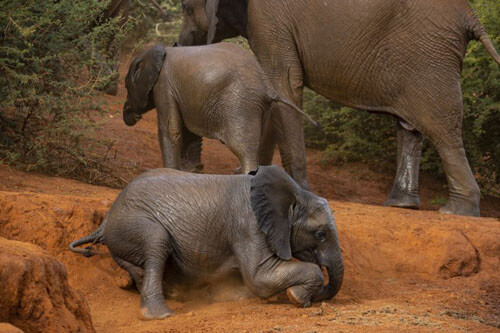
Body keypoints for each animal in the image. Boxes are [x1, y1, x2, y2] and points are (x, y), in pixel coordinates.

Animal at [69, 166, 344, 320]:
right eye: (320, 234)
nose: (320, 296)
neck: (293, 193)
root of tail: (107, 217)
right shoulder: (248, 224)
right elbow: (261, 277)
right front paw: (298, 298)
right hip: (131, 222)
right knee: (157, 241)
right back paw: (160, 315)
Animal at [121, 42, 316, 174]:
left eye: (126, 85)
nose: (129, 113)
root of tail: (268, 86)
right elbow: (188, 132)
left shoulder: (164, 86)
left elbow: (172, 130)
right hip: (261, 108)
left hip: (241, 103)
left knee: (243, 148)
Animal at [178, 0, 498, 215]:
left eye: (185, 7)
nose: (179, 46)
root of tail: (470, 15)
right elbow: (274, 94)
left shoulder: (269, 20)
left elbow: (284, 84)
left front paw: (297, 188)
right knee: (410, 127)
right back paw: (401, 204)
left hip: (429, 56)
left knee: (441, 127)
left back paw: (455, 211)